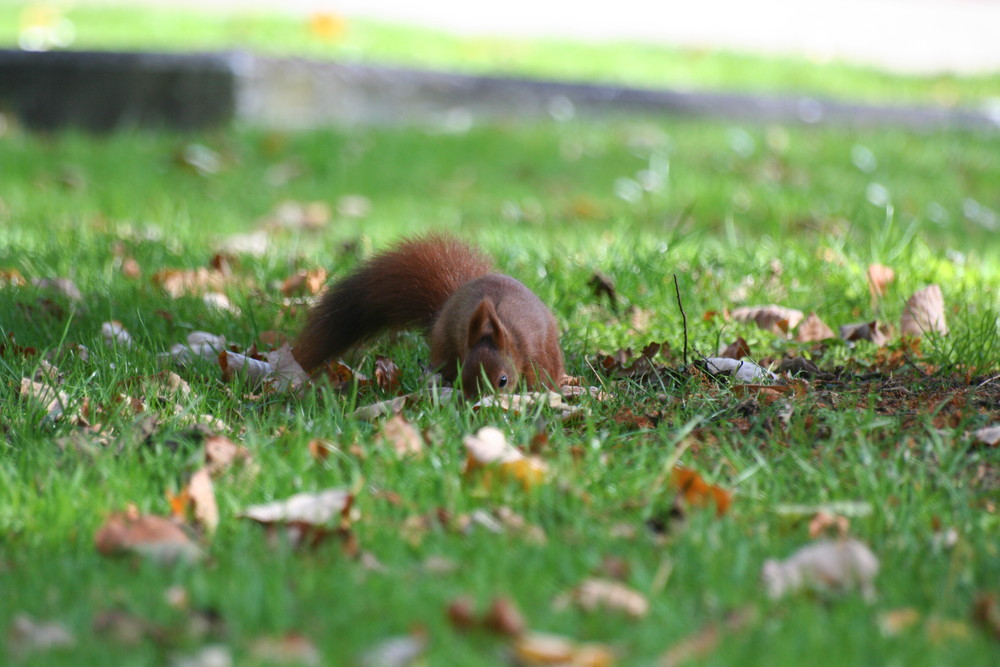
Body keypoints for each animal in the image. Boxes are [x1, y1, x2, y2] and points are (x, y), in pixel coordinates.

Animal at [292, 236, 568, 396]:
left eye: (502, 380)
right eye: (464, 376)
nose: (476, 405)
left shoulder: (532, 353)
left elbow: (537, 376)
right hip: (445, 345)